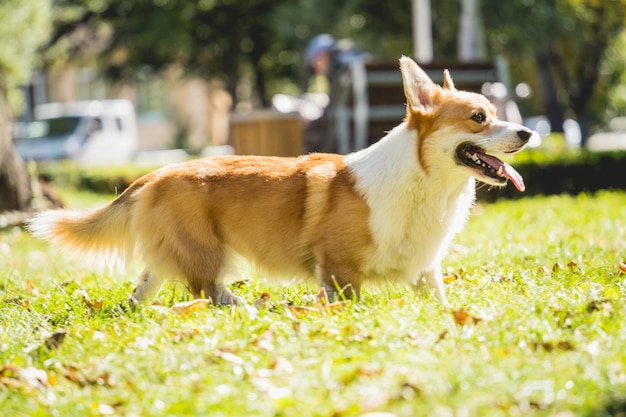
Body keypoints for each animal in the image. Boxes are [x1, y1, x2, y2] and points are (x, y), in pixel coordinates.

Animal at [28, 57, 528, 306]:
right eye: (479, 117)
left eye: (496, 111)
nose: (528, 133)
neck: (426, 183)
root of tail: (154, 174)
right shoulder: (340, 270)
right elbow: (351, 303)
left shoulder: (426, 271)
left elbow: (439, 304)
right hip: (209, 254)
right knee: (207, 291)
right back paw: (245, 308)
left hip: (170, 257)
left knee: (147, 288)